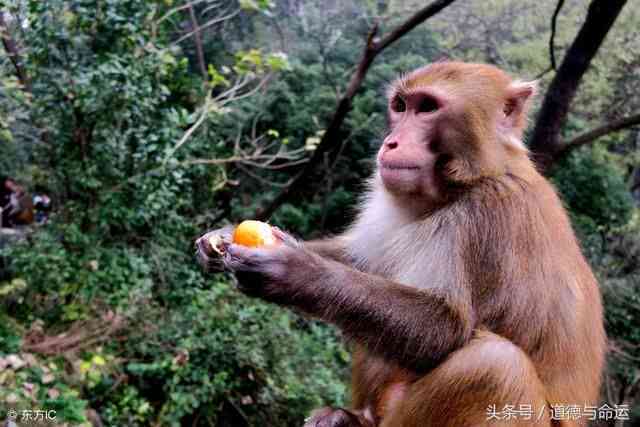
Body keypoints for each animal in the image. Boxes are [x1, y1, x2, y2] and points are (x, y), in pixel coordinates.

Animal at [196, 61, 604, 427]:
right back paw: (351, 419)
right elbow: (360, 265)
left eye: (428, 108)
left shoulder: (487, 215)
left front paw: (294, 272)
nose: (390, 143)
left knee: (494, 364)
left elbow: (445, 328)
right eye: (401, 105)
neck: (466, 182)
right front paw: (222, 238)